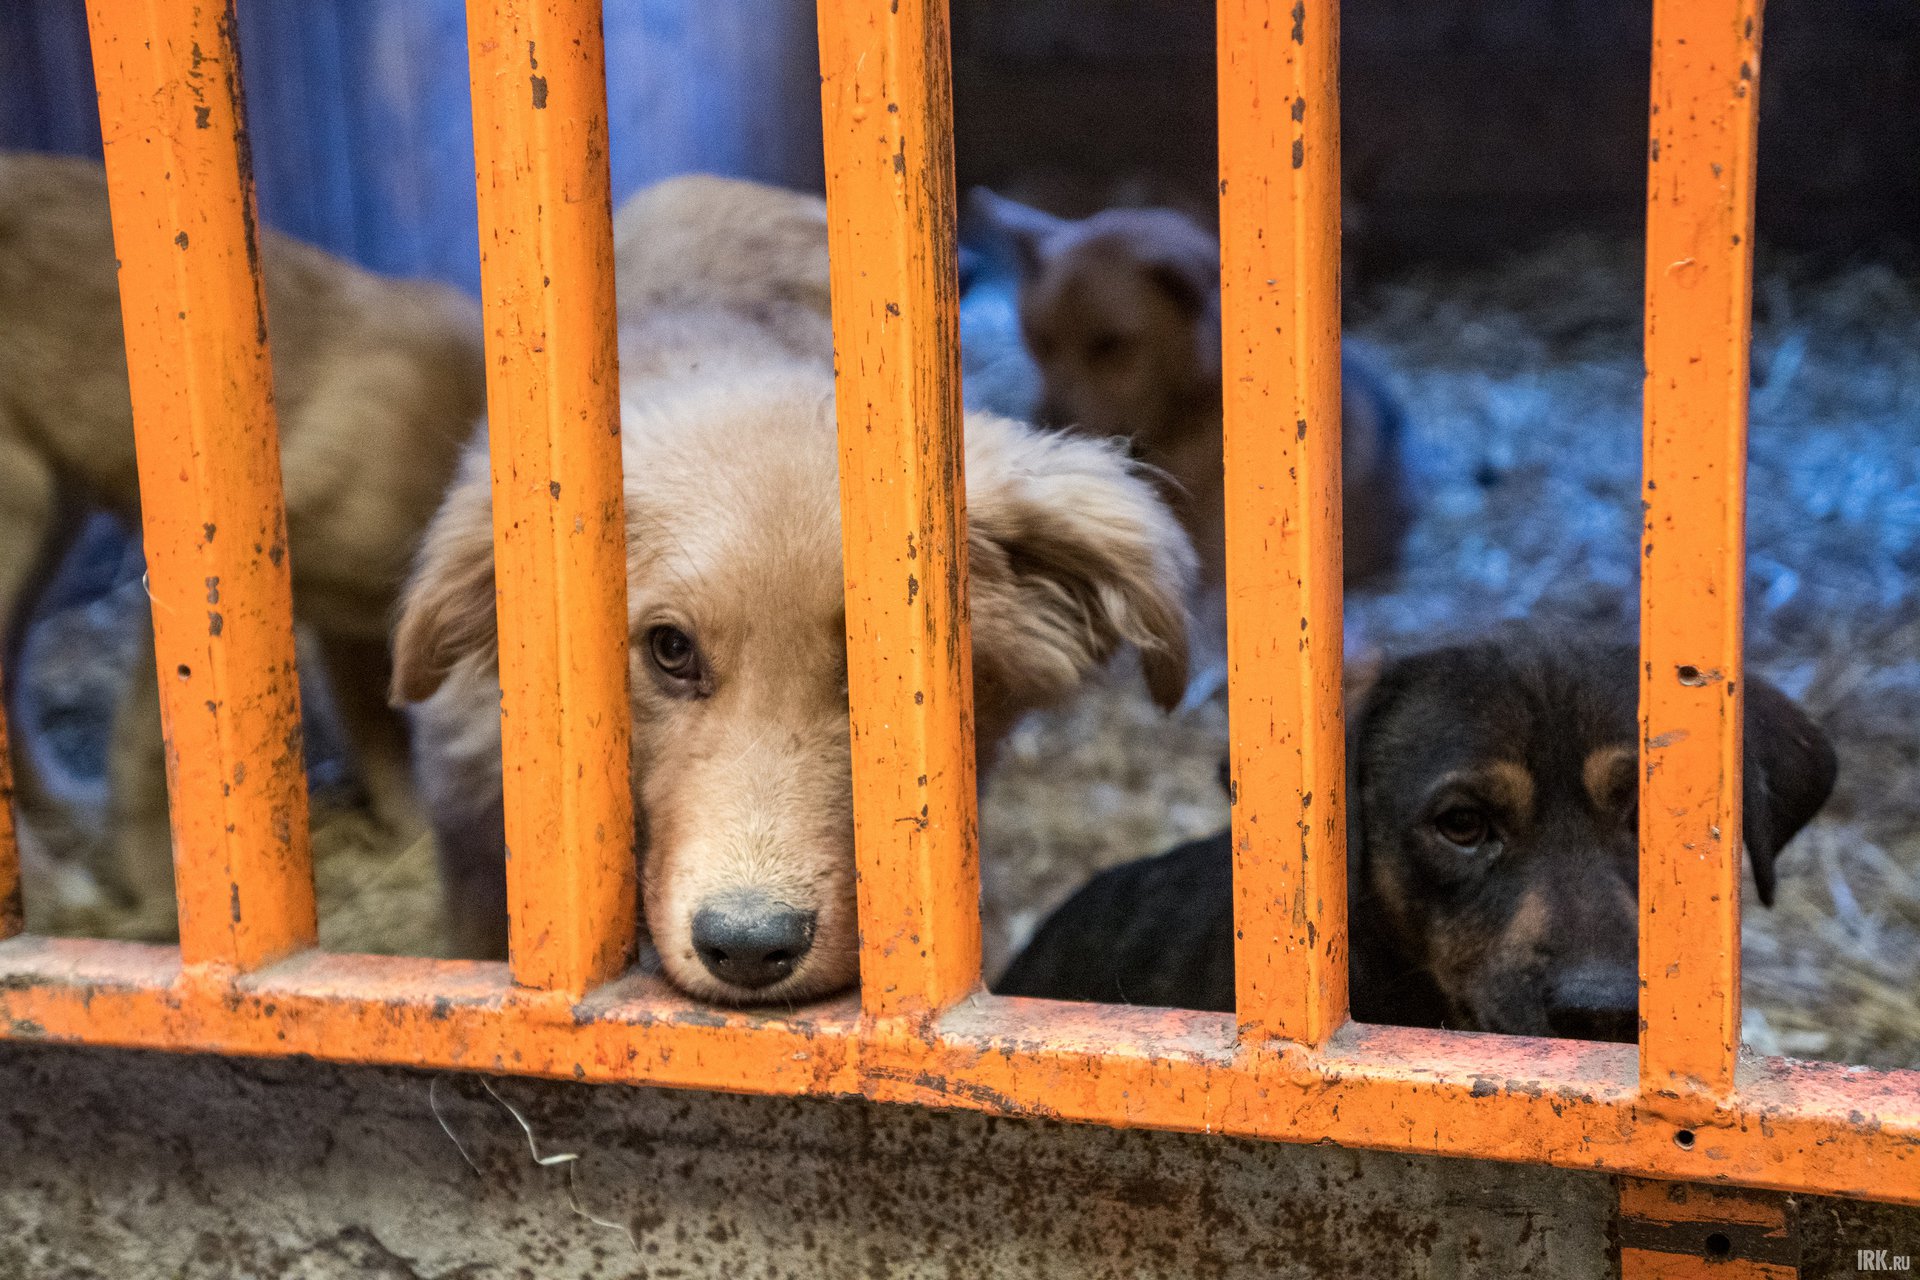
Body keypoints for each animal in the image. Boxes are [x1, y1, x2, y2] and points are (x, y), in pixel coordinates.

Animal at [0, 152, 487, 940]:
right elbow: (148, 752)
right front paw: (162, 894)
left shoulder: (354, 626)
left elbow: (381, 741)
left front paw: (409, 839)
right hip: (23, 508)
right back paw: (56, 892)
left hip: (53, 511)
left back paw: (63, 816)